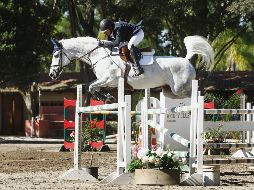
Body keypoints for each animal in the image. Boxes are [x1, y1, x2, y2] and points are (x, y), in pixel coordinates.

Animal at [48, 35, 213, 98]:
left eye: (56, 55)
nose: (52, 74)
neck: (98, 54)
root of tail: (187, 61)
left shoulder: (110, 79)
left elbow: (90, 85)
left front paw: (105, 97)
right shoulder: (105, 81)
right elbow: (92, 86)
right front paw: (105, 97)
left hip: (180, 89)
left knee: (196, 95)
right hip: (170, 91)